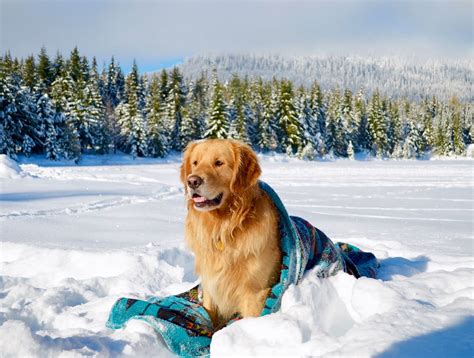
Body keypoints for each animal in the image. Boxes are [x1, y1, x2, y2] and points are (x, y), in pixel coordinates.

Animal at [180, 138, 280, 326]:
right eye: (195, 163)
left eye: (219, 163)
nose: (192, 181)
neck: (223, 227)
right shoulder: (210, 284)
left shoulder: (255, 292)